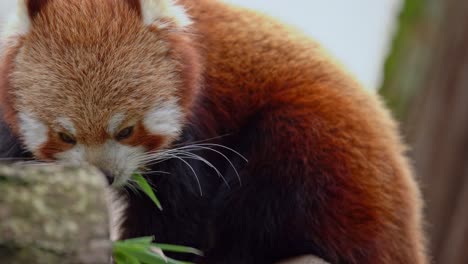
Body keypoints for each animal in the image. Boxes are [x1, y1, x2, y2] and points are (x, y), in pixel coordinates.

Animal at [0, 0, 428, 264]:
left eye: (126, 130)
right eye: (65, 136)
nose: (105, 176)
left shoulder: (197, 129)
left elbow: (179, 217)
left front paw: (146, 249)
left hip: (323, 153)